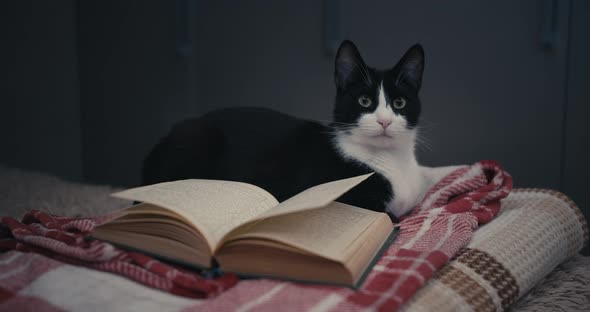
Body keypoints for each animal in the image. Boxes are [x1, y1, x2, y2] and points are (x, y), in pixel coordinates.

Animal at [141, 40, 456, 221]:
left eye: (399, 102)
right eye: (364, 101)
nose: (384, 121)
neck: (390, 160)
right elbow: (389, 218)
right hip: (198, 139)